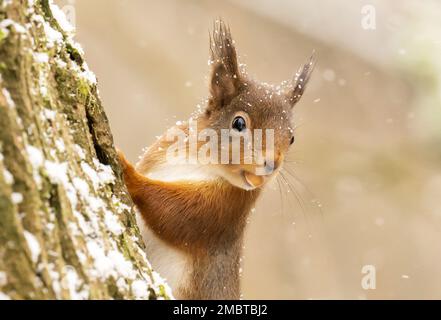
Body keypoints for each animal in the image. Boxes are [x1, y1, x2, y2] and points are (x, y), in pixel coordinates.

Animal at [117, 20, 312, 300]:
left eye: (292, 138)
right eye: (239, 123)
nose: (271, 164)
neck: (201, 160)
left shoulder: (223, 210)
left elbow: (174, 214)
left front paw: (127, 169)